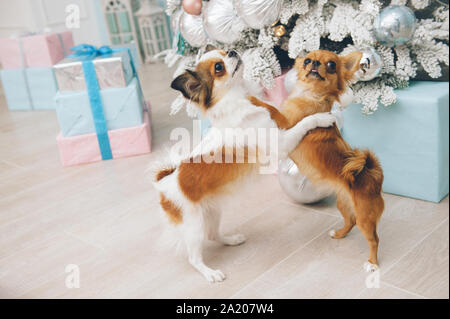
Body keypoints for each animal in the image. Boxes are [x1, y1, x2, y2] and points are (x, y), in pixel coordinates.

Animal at [153, 50, 336, 282]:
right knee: (194, 257)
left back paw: (231, 240)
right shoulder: (281, 143)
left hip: (212, 210)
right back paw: (210, 273)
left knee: (213, 234)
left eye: (225, 52)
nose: (233, 51)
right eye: (218, 68)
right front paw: (321, 117)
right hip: (193, 225)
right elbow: (304, 123)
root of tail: (164, 181)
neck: (242, 95)